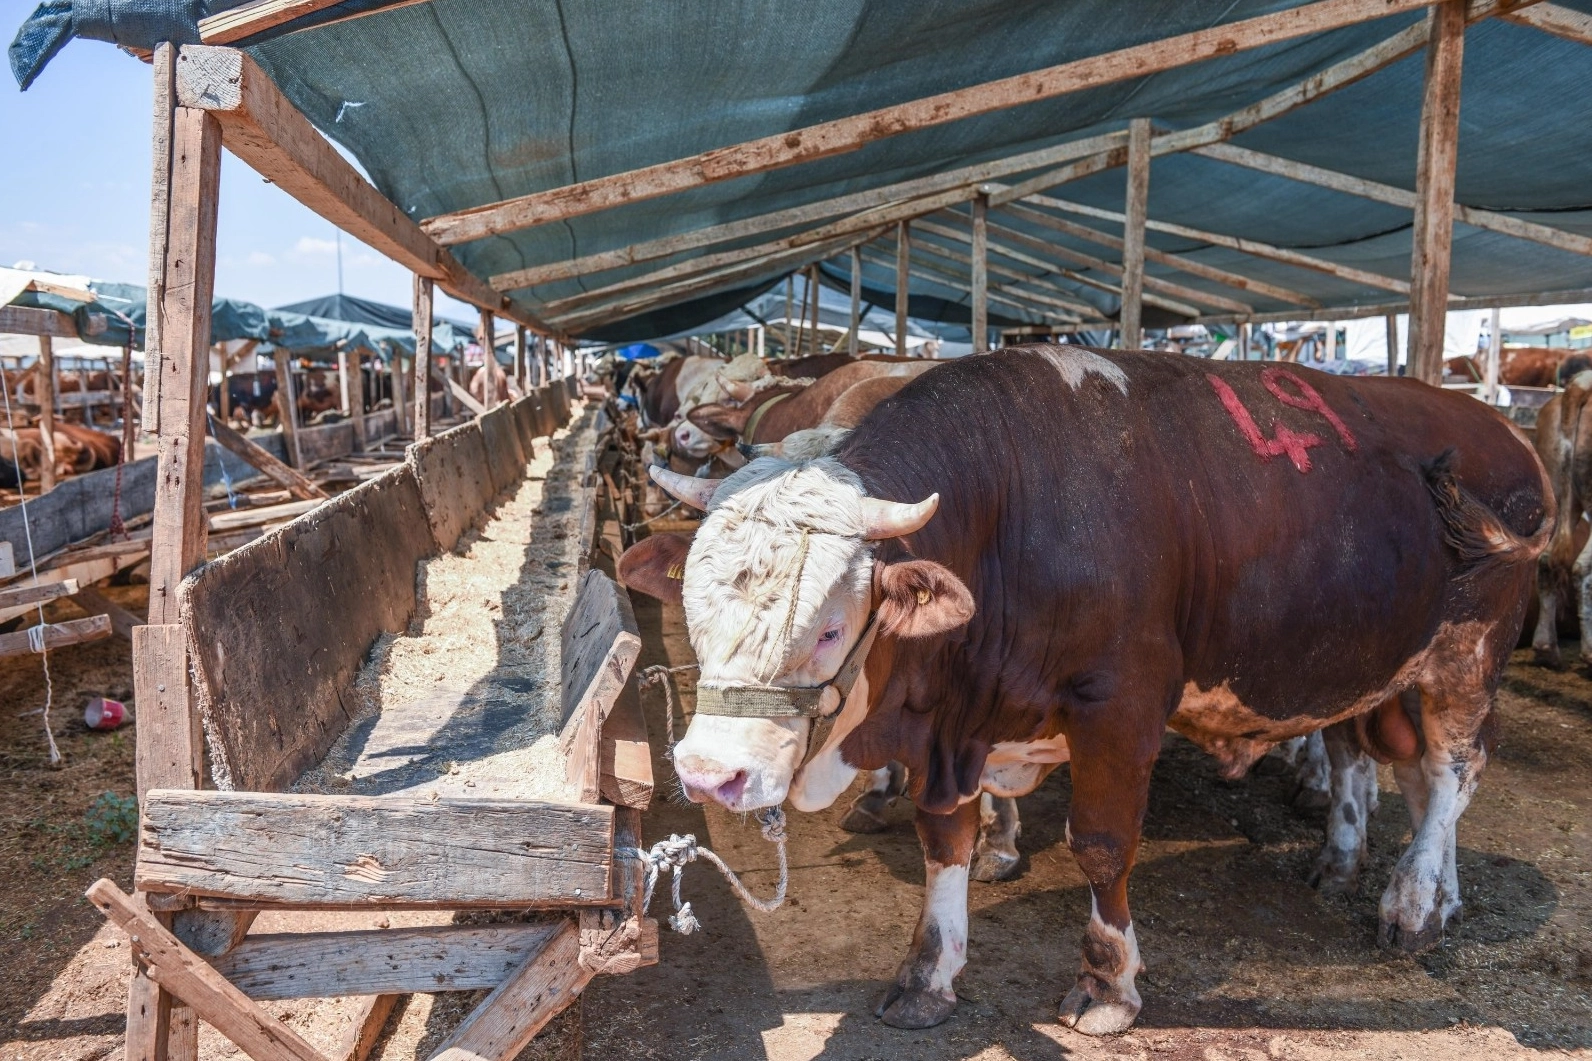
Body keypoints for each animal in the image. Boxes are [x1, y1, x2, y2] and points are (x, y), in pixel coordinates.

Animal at [624, 345, 1553, 1032]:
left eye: (826, 626)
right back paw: (1374, 870)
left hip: (1467, 655)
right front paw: (928, 972)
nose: (709, 774)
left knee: (1450, 770)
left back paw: (1415, 903)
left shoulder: (1121, 706)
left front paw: (1108, 984)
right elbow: (942, 839)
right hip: (1371, 661)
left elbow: (1103, 843)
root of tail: (1497, 427)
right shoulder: (960, 729)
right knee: (1394, 765)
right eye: (695, 611)